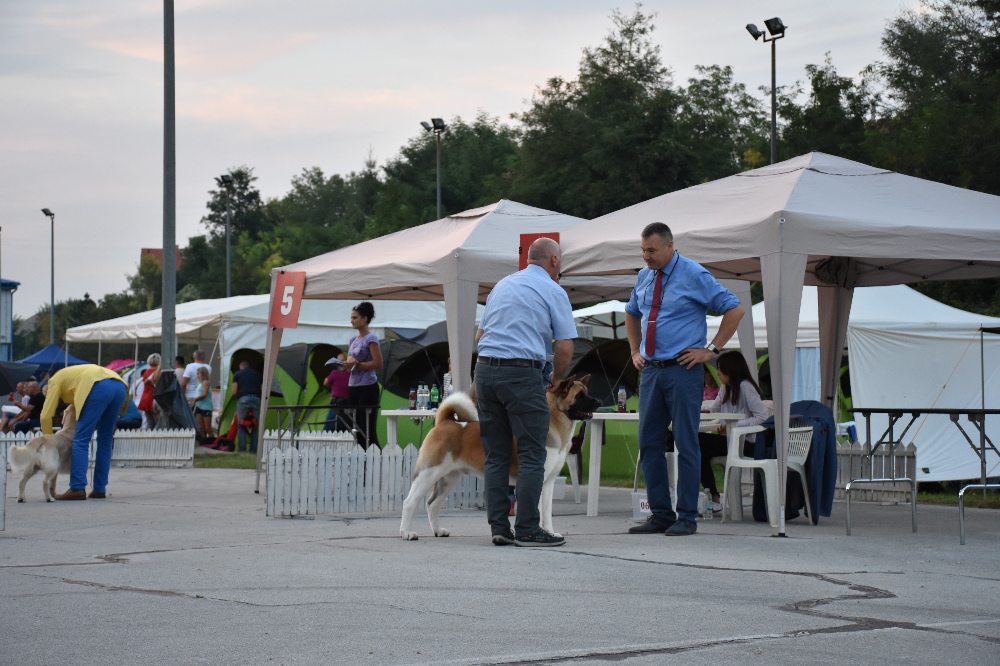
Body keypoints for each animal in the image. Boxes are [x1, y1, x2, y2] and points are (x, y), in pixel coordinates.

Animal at [400, 375, 601, 540]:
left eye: (587, 392)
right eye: (580, 396)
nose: (598, 401)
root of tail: (445, 422)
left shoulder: (549, 482)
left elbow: (546, 513)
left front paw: (550, 533)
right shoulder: (538, 478)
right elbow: (537, 510)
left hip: (449, 478)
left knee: (432, 504)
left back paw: (438, 531)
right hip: (428, 473)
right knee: (409, 502)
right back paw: (407, 533)